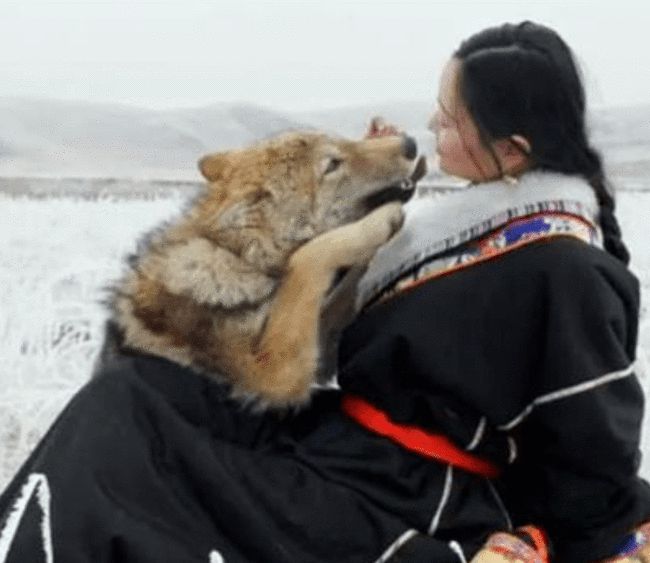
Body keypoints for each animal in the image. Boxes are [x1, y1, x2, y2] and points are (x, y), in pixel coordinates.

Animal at [108, 130, 426, 408]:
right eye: (332, 165)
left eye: (344, 141)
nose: (410, 143)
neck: (239, 257)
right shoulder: (272, 374)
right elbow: (310, 257)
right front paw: (382, 223)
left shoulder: (316, 347)